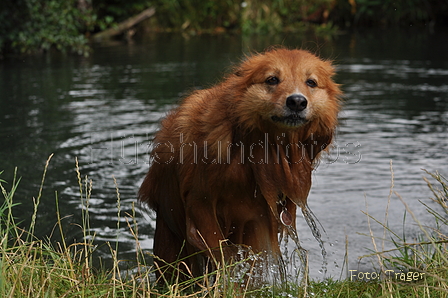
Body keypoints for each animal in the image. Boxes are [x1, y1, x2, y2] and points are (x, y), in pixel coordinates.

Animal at [138, 47, 342, 278]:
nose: (297, 101)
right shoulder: (200, 205)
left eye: (311, 82)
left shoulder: (255, 221)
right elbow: (222, 258)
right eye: (272, 79)